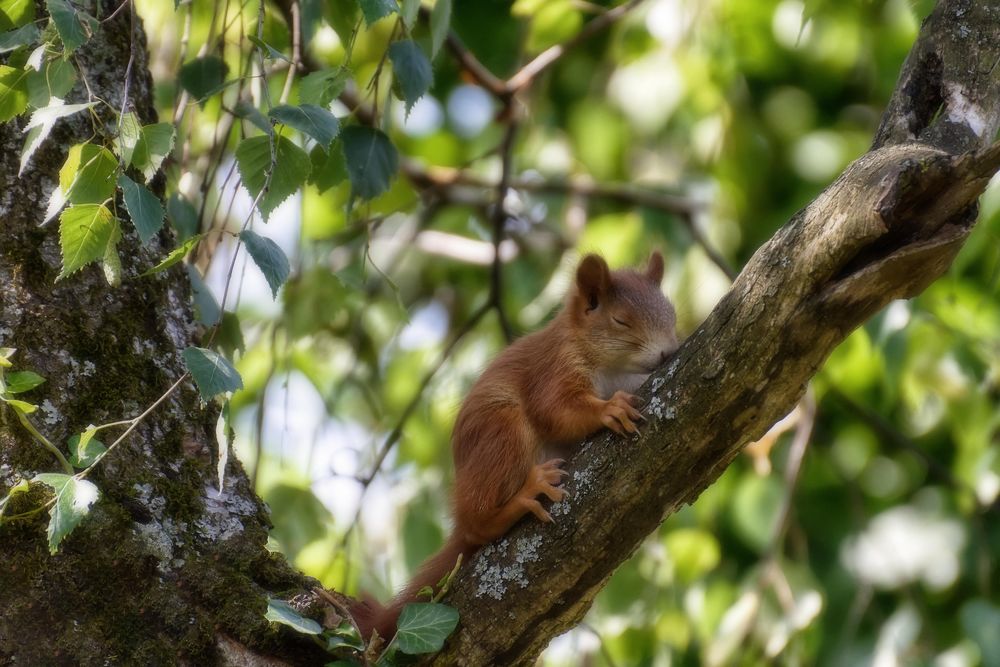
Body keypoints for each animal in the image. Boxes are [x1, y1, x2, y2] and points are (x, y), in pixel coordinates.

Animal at [350, 252, 680, 640]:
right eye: (621, 321)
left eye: (672, 314)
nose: (668, 352)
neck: (612, 367)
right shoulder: (553, 368)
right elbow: (557, 410)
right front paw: (607, 409)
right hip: (502, 432)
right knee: (478, 523)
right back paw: (522, 497)